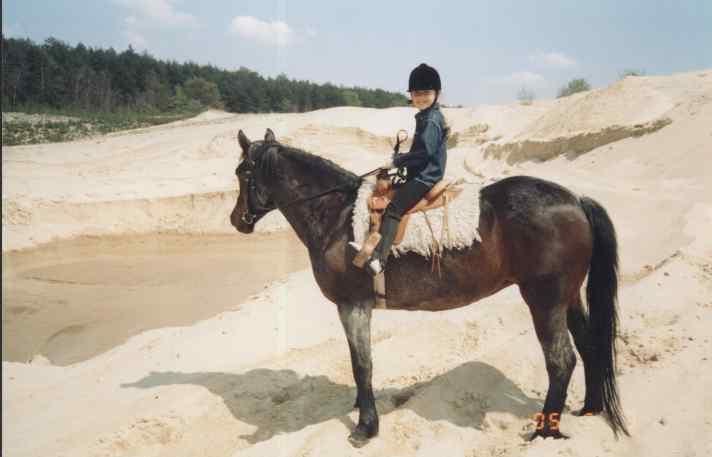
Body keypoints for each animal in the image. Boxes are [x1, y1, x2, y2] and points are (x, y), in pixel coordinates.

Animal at [229, 127, 628, 446]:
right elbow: (361, 363)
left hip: (545, 301)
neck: (337, 215)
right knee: (589, 345)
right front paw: (361, 407)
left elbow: (362, 364)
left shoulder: (353, 304)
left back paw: (546, 431)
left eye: (242, 172)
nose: (236, 220)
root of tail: (575, 199)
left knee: (561, 360)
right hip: (567, 297)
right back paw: (589, 410)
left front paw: (366, 426)